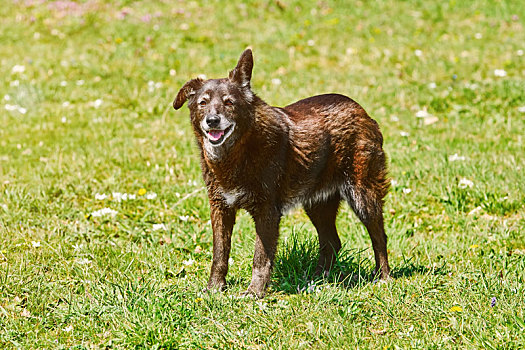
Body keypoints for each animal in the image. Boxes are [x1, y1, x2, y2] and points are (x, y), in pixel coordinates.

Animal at [172, 47, 388, 296]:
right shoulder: (220, 209)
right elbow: (220, 254)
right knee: (332, 243)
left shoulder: (267, 212)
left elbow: (260, 258)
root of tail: (363, 112)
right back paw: (314, 281)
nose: (212, 121)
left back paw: (382, 278)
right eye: (203, 103)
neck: (238, 152)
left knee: (379, 236)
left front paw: (254, 293)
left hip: (363, 196)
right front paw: (214, 289)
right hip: (317, 204)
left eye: (229, 102)